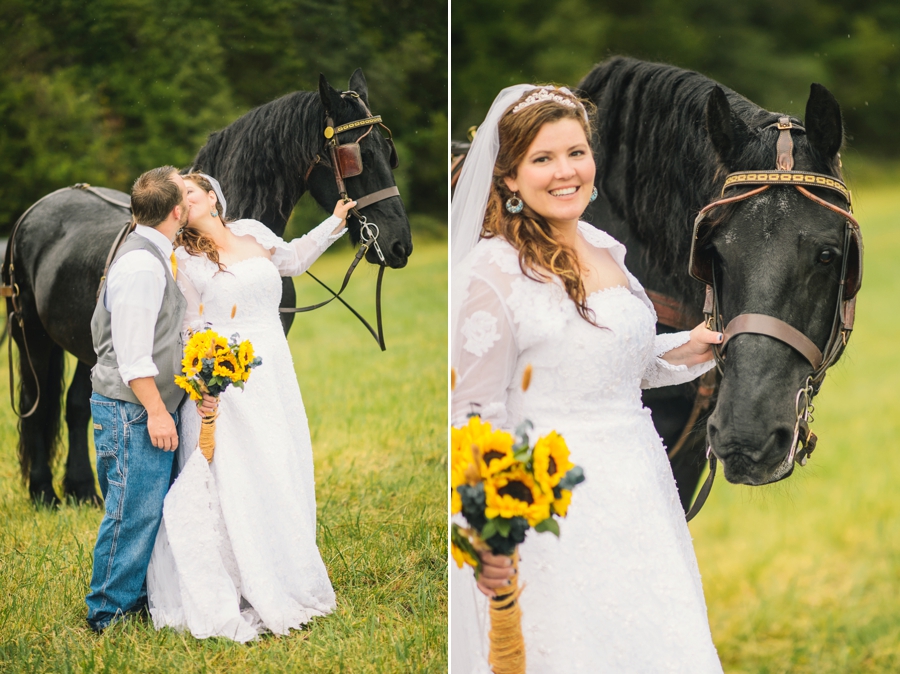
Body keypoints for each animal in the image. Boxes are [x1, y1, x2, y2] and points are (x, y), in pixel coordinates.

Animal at [2, 69, 412, 504]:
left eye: (388, 153)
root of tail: (37, 210)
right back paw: (43, 490)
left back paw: (82, 490)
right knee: (37, 404)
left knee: (79, 405)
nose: (399, 244)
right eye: (357, 157)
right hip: (31, 335)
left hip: (92, 345)